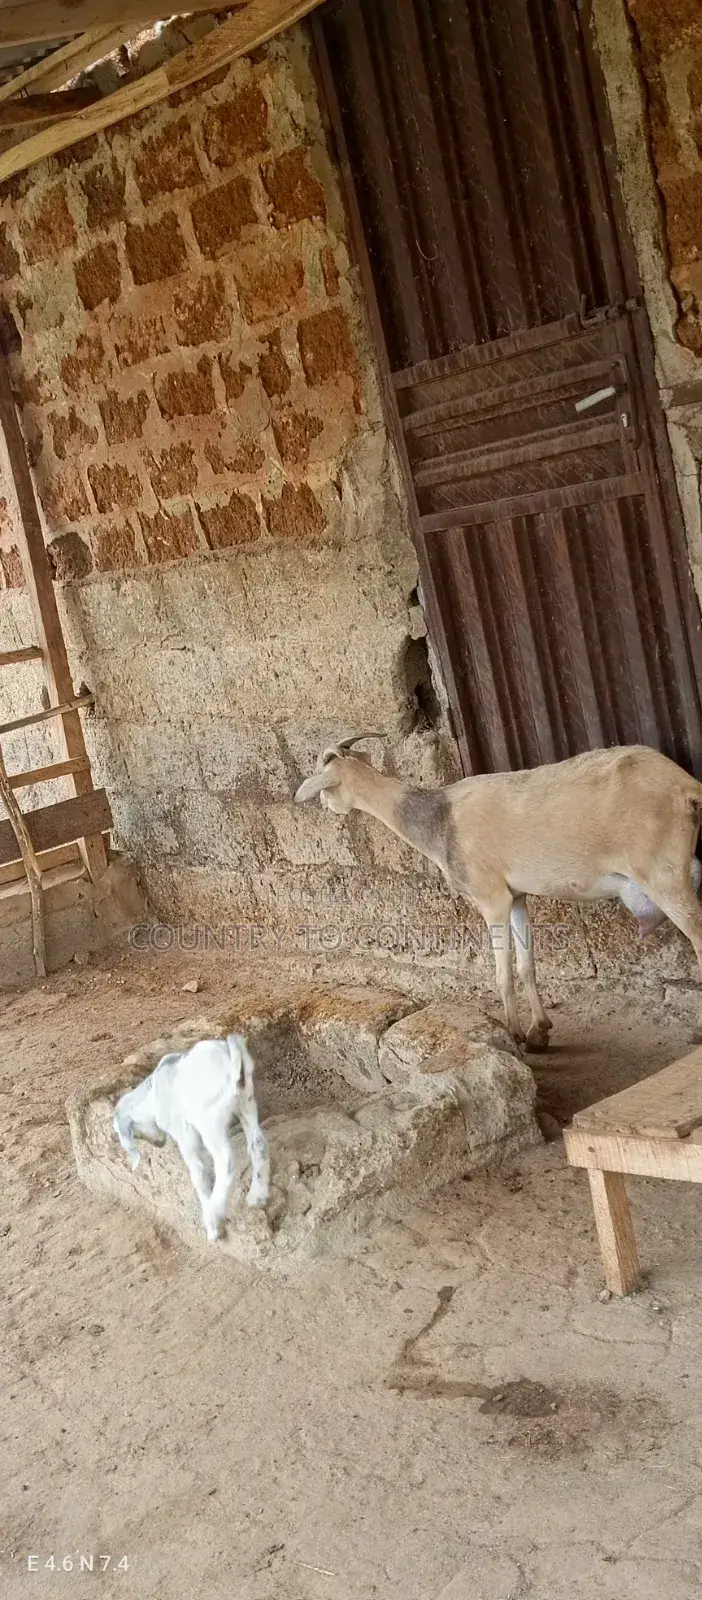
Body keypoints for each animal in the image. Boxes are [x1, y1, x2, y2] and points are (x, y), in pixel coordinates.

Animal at [113, 1033, 269, 1241]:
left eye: (133, 1133)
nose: (159, 1143)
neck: (153, 1094)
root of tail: (229, 1052)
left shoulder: (183, 1133)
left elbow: (197, 1172)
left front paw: (210, 1219)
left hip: (209, 1120)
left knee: (225, 1161)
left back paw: (214, 1216)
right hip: (246, 1100)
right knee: (258, 1144)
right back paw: (257, 1195)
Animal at [294, 736, 702, 1049]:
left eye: (324, 780)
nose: (326, 807)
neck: (440, 818)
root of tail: (686, 787)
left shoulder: (491, 898)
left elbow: (503, 973)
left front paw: (515, 1034)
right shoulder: (517, 897)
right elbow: (526, 966)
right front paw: (540, 1031)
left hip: (662, 875)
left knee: (697, 933)